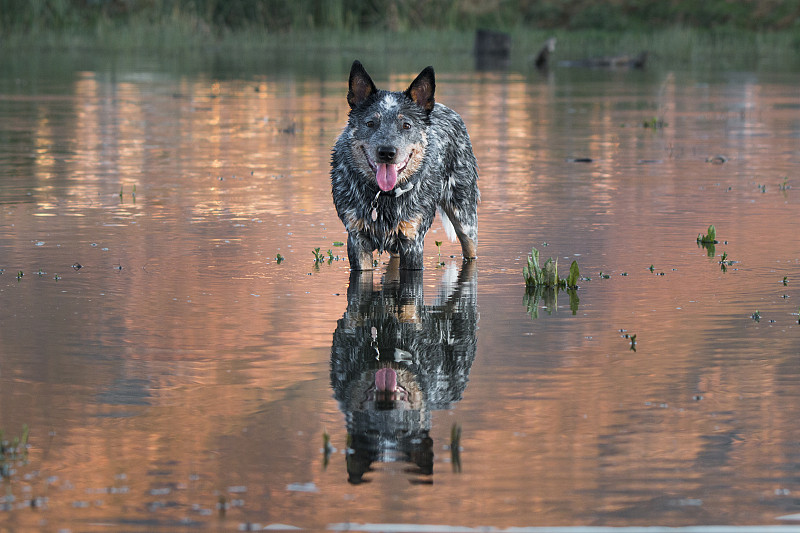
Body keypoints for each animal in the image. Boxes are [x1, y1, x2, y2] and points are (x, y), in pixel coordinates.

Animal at [330, 60, 478, 270]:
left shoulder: (413, 240)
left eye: (406, 125)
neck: (383, 196)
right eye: (370, 123)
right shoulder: (356, 239)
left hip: (465, 217)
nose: (386, 152)